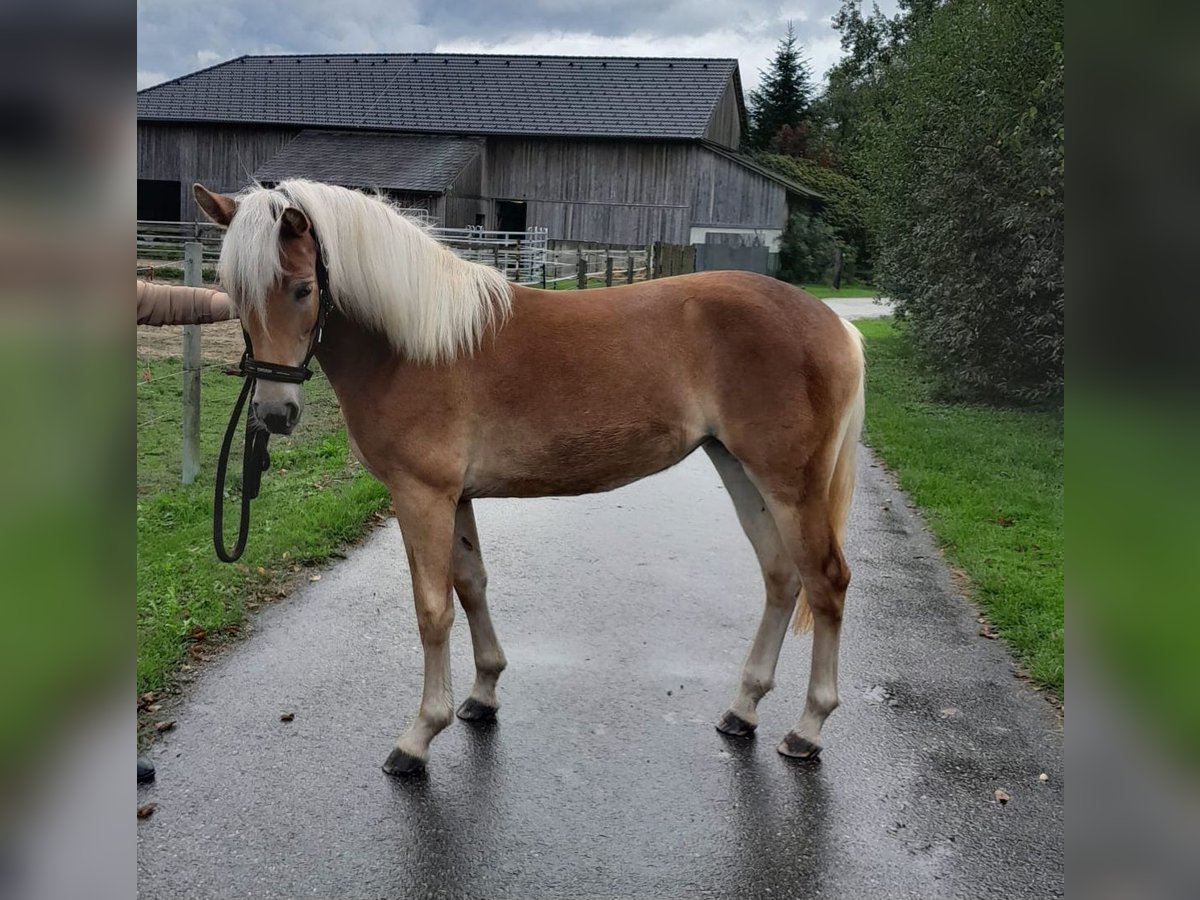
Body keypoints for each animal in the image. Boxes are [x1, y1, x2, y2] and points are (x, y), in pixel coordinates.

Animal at [194, 177, 864, 777]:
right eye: (231, 291)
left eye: (303, 288)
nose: (273, 414)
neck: (414, 343)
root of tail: (837, 327)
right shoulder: (455, 496)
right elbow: (471, 586)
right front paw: (482, 695)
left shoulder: (421, 495)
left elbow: (432, 609)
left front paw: (419, 736)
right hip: (740, 468)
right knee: (782, 578)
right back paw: (743, 710)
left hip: (789, 484)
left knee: (825, 582)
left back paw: (807, 729)